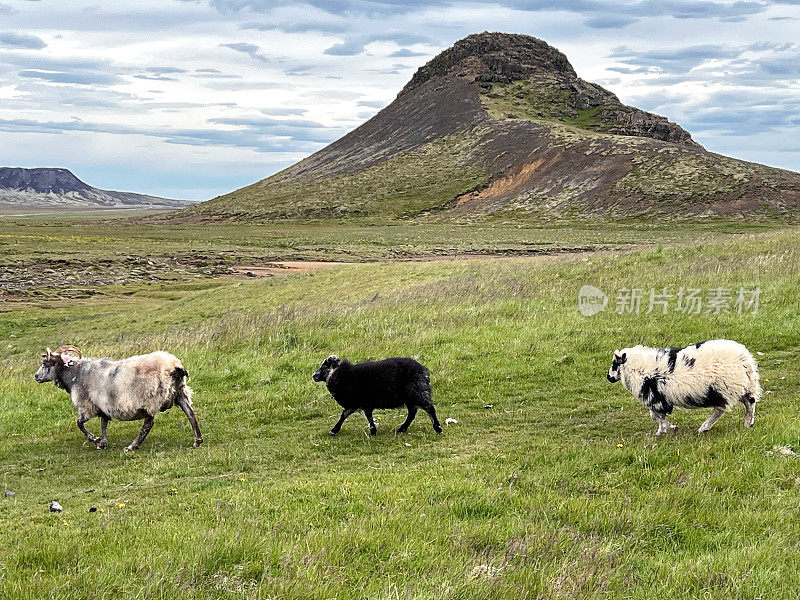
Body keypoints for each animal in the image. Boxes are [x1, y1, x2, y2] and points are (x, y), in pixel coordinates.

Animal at [34, 342, 203, 450]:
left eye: (46, 363)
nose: (36, 376)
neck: (74, 374)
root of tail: (175, 366)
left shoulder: (87, 406)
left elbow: (79, 424)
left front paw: (95, 440)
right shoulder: (102, 406)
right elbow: (103, 424)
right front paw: (102, 443)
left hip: (150, 398)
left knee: (148, 424)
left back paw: (133, 446)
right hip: (180, 393)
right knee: (191, 414)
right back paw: (198, 440)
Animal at [310, 356, 444, 436]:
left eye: (324, 367)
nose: (313, 376)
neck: (340, 374)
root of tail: (423, 370)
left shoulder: (355, 402)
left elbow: (344, 415)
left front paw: (334, 431)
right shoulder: (363, 403)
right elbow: (368, 416)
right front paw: (373, 430)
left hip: (416, 391)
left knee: (429, 408)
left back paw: (438, 428)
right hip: (410, 396)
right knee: (412, 412)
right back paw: (402, 429)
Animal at [608, 340, 764, 434]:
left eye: (615, 364)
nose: (608, 377)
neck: (637, 368)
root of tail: (745, 359)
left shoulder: (656, 398)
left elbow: (655, 416)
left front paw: (668, 427)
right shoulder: (660, 399)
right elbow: (658, 417)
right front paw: (661, 431)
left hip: (723, 389)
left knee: (719, 410)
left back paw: (704, 428)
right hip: (744, 387)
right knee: (750, 403)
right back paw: (748, 423)